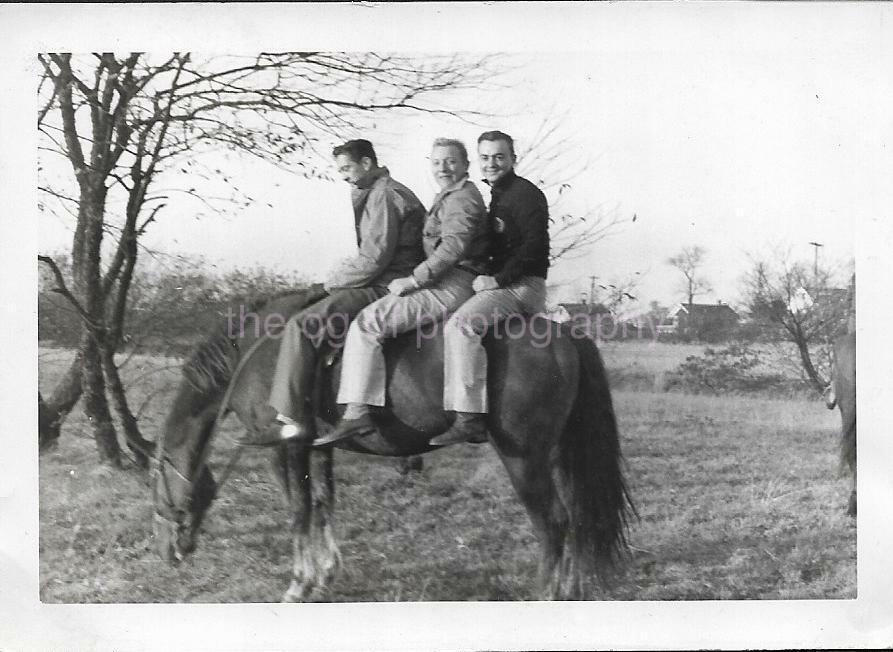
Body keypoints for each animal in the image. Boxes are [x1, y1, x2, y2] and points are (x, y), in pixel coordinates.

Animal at [150, 290, 632, 600]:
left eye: (155, 486)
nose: (167, 552)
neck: (255, 353)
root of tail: (564, 334)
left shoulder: (285, 448)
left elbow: (298, 511)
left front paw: (300, 582)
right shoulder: (318, 447)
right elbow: (324, 502)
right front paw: (326, 574)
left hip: (524, 460)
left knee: (552, 523)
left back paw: (547, 594)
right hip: (557, 455)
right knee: (575, 518)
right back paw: (571, 590)